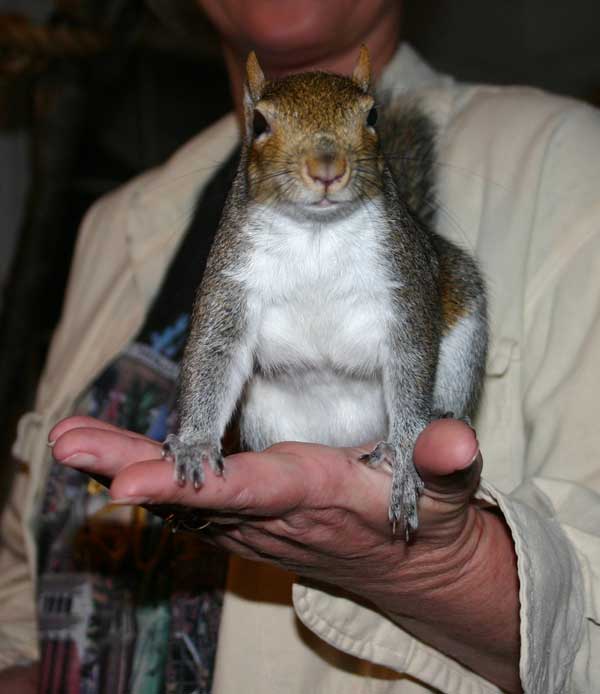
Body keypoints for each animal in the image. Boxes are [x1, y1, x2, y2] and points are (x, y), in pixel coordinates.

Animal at [163, 47, 488, 540]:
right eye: (259, 124)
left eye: (372, 115)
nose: (327, 169)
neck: (316, 232)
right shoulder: (232, 279)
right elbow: (213, 356)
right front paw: (196, 444)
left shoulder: (404, 281)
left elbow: (411, 361)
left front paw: (406, 456)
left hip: (463, 333)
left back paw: (444, 417)